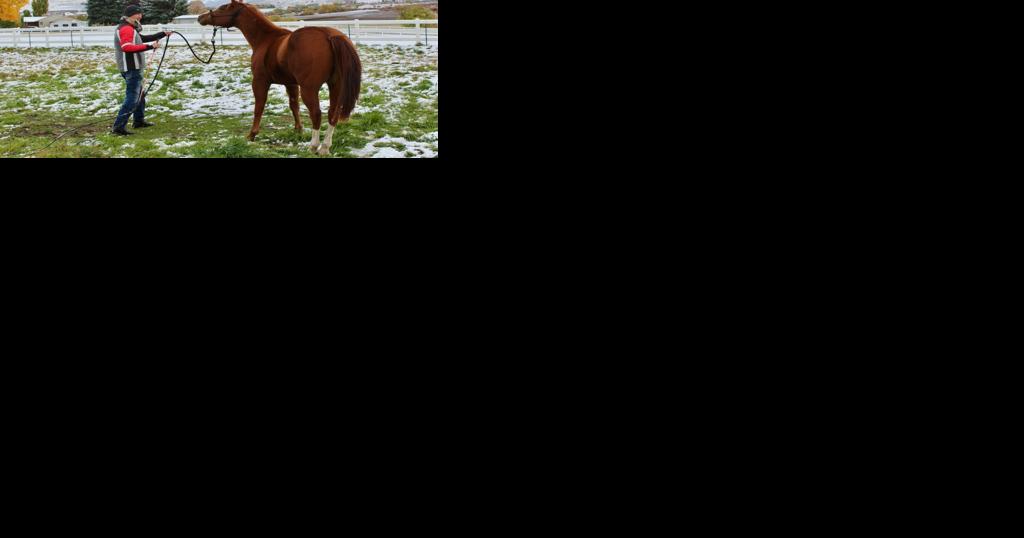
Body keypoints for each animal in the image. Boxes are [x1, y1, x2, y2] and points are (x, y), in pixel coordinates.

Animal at [198, 0, 362, 155]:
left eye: (222, 8)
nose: (200, 17)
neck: (266, 39)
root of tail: (329, 35)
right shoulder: (291, 84)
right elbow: (294, 105)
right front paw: (298, 129)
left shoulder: (260, 81)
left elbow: (259, 107)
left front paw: (252, 135)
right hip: (335, 85)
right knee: (333, 114)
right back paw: (325, 148)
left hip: (309, 89)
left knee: (316, 114)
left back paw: (313, 146)